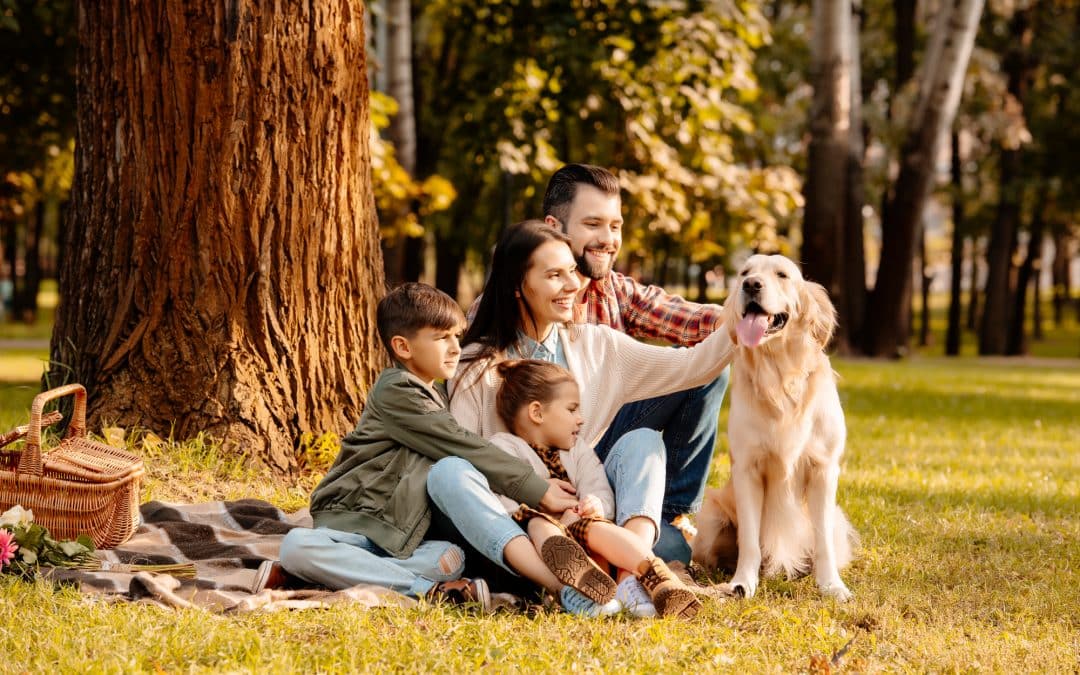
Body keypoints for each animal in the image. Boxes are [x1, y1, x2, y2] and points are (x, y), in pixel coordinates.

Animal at [691, 253, 859, 600]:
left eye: (782, 274)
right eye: (744, 272)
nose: (750, 285)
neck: (779, 377)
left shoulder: (824, 468)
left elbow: (822, 540)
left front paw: (832, 586)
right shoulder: (747, 469)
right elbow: (750, 541)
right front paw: (742, 583)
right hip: (711, 519)